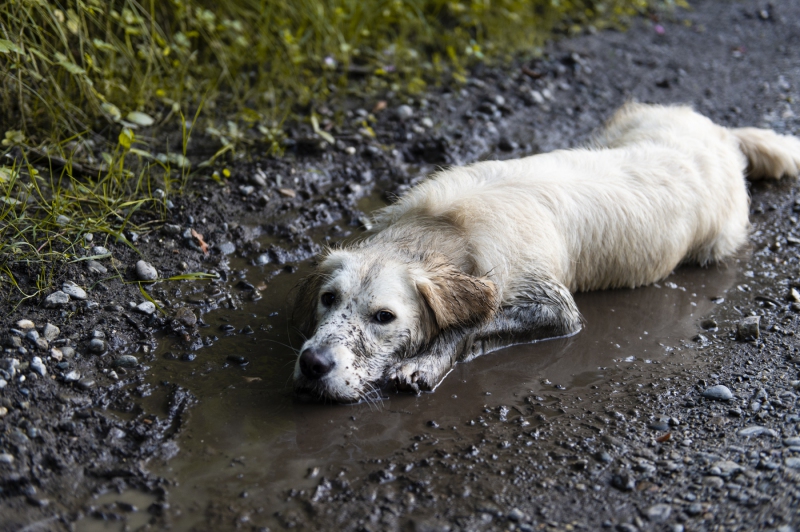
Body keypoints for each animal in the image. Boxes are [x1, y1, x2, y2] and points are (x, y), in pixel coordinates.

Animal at [292, 103, 800, 404]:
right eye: (328, 299)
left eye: (384, 317)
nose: (313, 364)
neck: (447, 228)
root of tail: (721, 133)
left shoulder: (556, 308)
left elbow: (472, 324)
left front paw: (424, 363)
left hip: (717, 240)